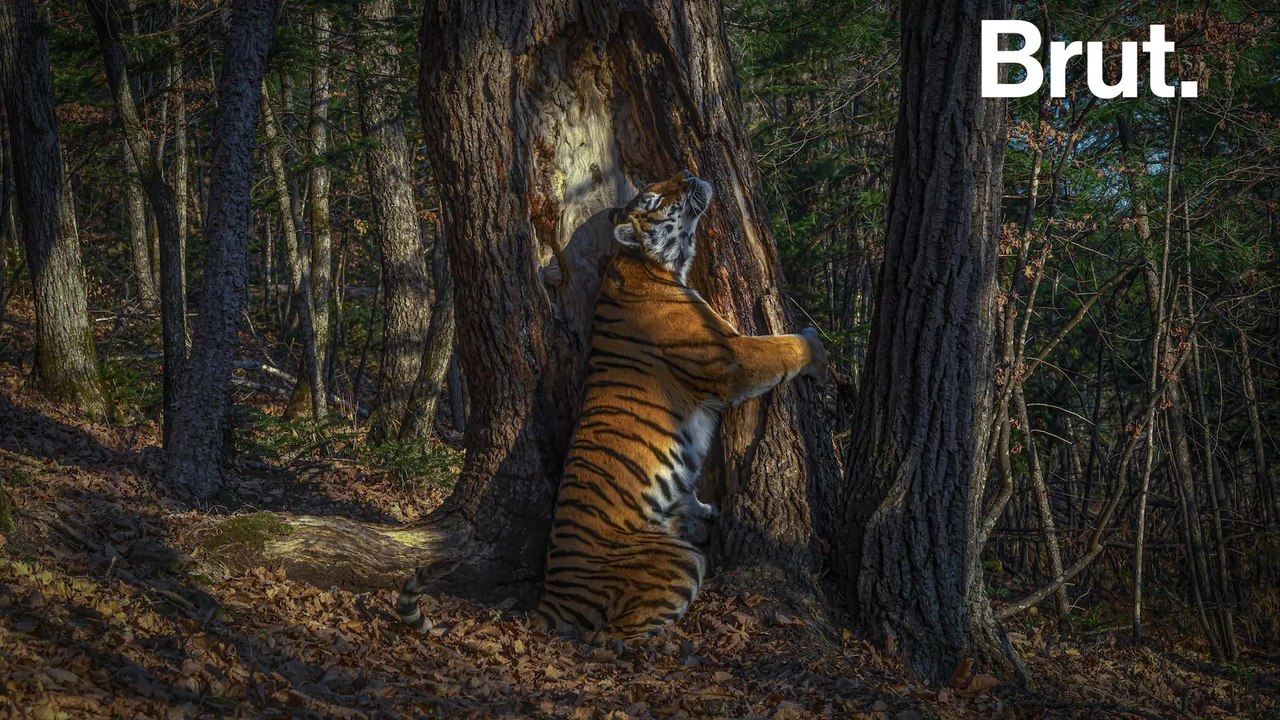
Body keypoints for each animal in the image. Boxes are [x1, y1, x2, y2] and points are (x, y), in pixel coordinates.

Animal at [397, 169, 827, 641]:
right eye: (655, 198)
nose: (688, 172)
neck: (649, 265)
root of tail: (550, 600)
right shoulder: (729, 357)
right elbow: (781, 347)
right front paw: (817, 347)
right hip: (677, 562)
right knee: (616, 636)